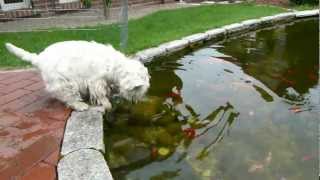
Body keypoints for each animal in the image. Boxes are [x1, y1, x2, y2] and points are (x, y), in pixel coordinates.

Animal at [5, 40, 150, 111]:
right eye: (137, 89)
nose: (135, 102)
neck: (114, 65)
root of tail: (40, 58)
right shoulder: (95, 80)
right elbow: (100, 94)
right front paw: (107, 104)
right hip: (63, 82)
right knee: (69, 97)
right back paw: (80, 105)